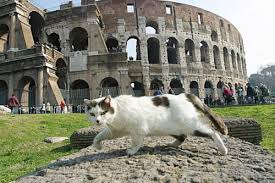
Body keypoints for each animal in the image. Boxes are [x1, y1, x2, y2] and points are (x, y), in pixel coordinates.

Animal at [83, 93, 229, 155]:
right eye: (92, 114)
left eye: (103, 112)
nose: (98, 121)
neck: (117, 113)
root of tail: (183, 95)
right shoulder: (115, 131)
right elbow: (98, 136)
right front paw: (98, 146)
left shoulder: (138, 129)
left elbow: (136, 142)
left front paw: (132, 151)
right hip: (170, 128)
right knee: (182, 136)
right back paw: (171, 145)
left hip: (191, 126)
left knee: (212, 132)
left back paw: (223, 150)